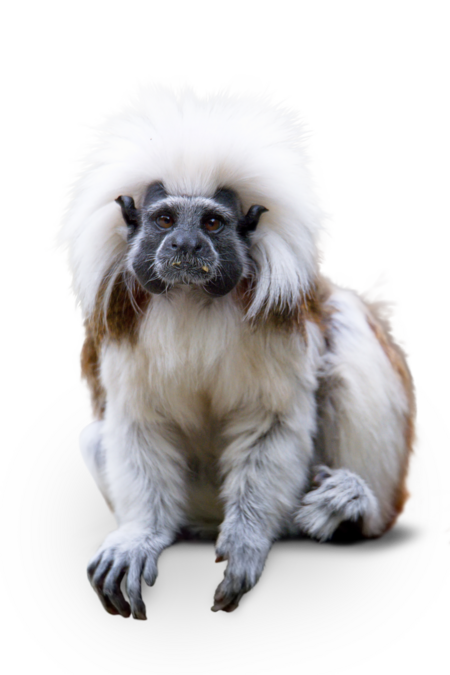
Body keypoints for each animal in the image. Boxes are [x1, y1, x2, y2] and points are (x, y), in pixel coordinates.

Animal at [47, 74, 424, 616]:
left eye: (211, 223)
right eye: (165, 221)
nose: (185, 246)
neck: (191, 299)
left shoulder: (280, 323)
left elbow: (272, 422)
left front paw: (247, 542)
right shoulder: (122, 325)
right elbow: (139, 427)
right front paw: (139, 537)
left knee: (348, 326)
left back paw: (354, 503)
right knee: (94, 438)